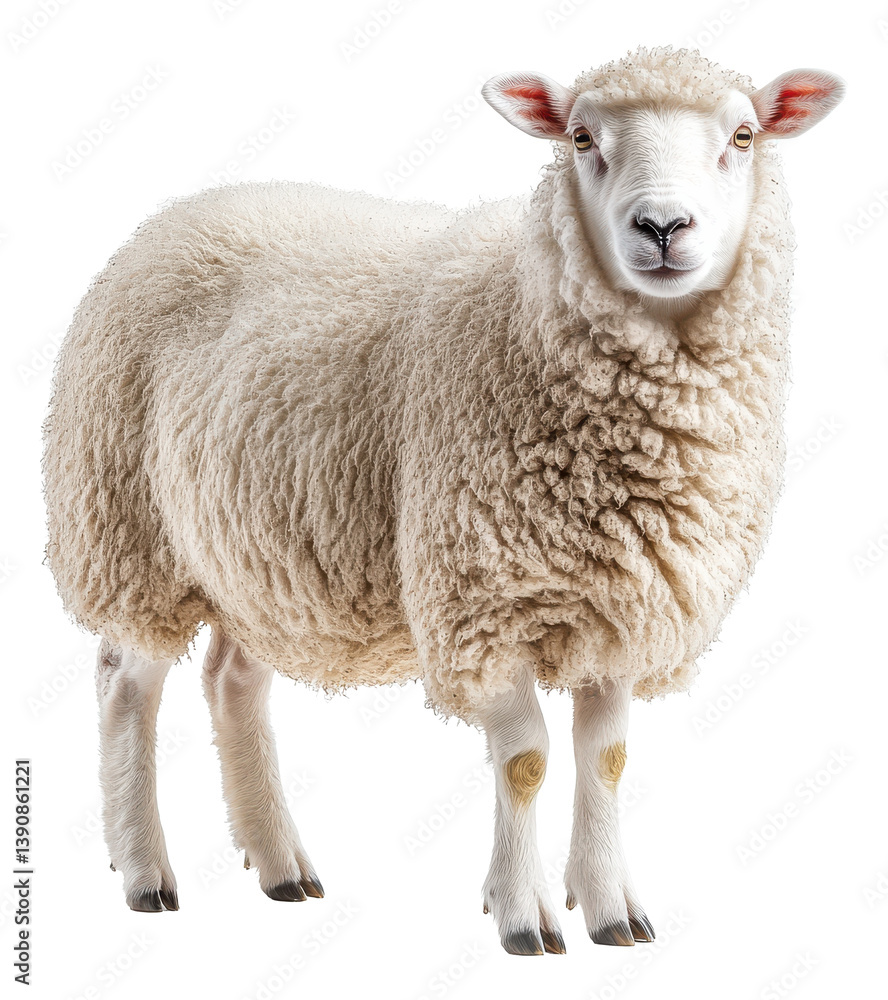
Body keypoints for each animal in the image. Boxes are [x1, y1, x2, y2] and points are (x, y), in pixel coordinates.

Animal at [42, 46, 844, 955]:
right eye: (580, 137)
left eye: (742, 136)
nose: (664, 227)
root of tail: (174, 214)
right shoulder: (480, 601)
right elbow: (527, 759)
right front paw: (523, 915)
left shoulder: (619, 607)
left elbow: (605, 759)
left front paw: (611, 909)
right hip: (128, 533)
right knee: (125, 684)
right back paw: (145, 873)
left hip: (261, 554)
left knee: (231, 682)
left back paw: (281, 864)